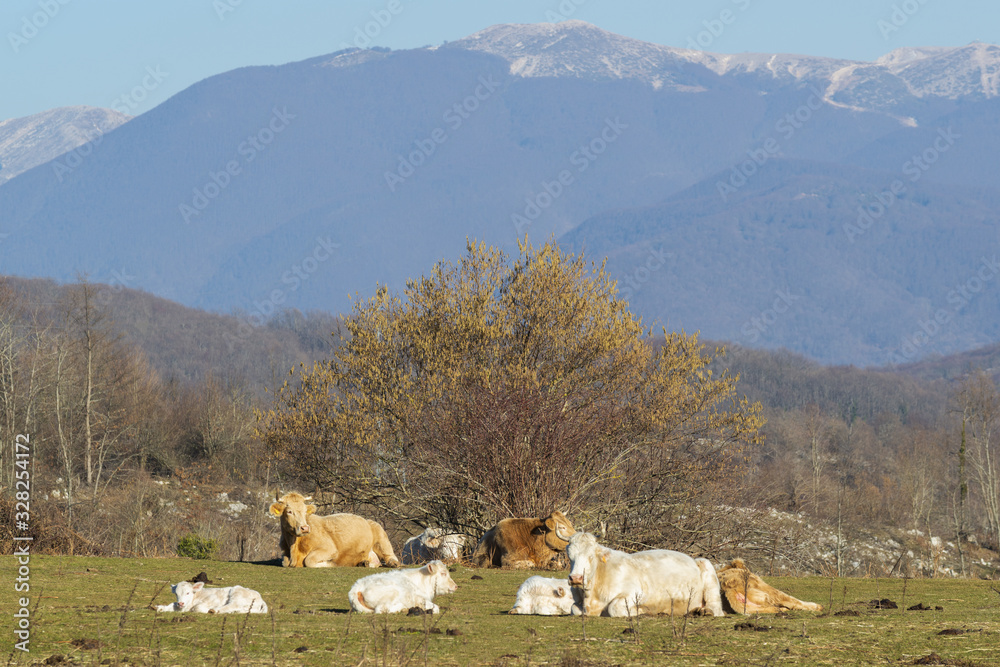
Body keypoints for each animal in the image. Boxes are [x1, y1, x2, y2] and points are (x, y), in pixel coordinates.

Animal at [274, 490, 402, 568]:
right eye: (289, 511)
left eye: (305, 511)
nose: (304, 528)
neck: (294, 547)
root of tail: (367, 520)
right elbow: (284, 561)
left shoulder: (329, 548)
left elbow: (309, 560)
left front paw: (331, 564)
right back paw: (364, 563)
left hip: (380, 535)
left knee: (389, 555)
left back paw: (393, 563)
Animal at [568, 532, 724, 620]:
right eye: (570, 556)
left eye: (590, 556)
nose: (576, 578)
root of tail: (694, 559)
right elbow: (573, 608)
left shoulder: (637, 592)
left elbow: (614, 607)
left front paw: (641, 611)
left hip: (707, 567)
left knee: (716, 608)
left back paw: (705, 611)